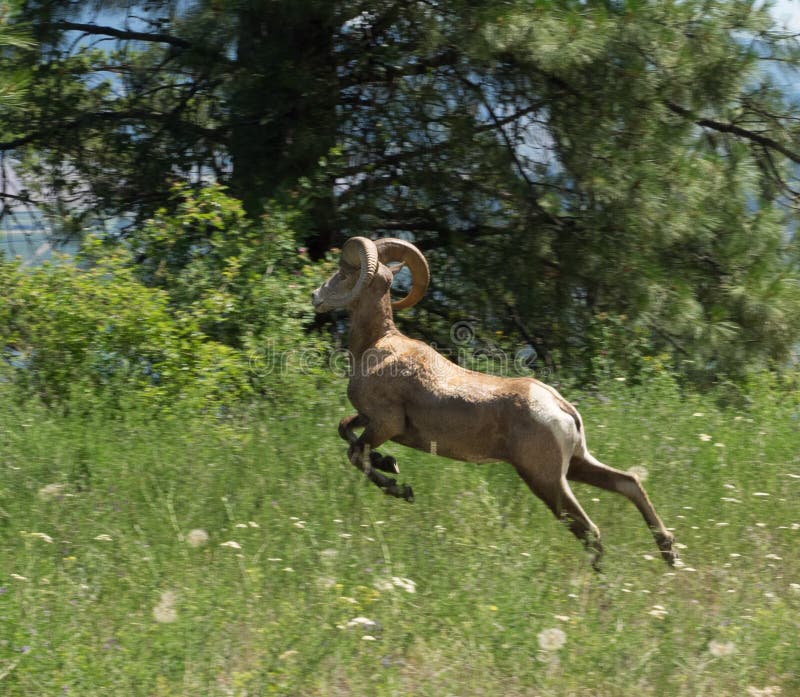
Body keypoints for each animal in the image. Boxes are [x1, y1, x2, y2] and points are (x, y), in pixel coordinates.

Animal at [312, 237, 676, 568]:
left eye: (343, 274)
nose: (316, 297)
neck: (376, 345)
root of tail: (560, 407)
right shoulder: (370, 420)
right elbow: (345, 430)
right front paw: (389, 463)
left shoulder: (385, 423)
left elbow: (355, 454)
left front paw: (399, 486)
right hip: (576, 465)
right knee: (628, 483)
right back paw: (669, 553)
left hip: (546, 481)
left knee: (591, 530)